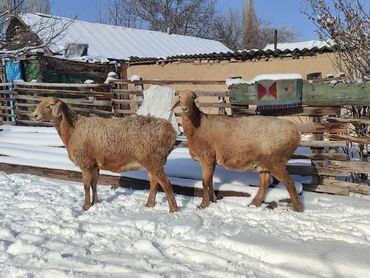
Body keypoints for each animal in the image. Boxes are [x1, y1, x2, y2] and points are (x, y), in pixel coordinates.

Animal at [32, 96, 180, 212]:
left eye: (50, 106)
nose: (34, 115)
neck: (72, 129)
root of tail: (171, 130)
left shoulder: (86, 163)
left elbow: (86, 186)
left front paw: (85, 207)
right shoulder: (94, 165)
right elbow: (94, 184)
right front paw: (95, 203)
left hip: (154, 160)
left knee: (166, 183)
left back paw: (173, 210)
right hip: (151, 161)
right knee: (154, 182)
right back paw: (149, 205)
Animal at [173, 90, 304, 212]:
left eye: (192, 97)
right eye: (179, 97)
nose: (184, 108)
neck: (198, 126)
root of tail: (296, 131)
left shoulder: (206, 157)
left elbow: (205, 182)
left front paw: (204, 204)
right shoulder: (211, 160)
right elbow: (210, 181)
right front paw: (213, 200)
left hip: (275, 161)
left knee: (289, 182)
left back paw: (298, 208)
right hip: (265, 162)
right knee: (264, 183)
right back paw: (254, 204)